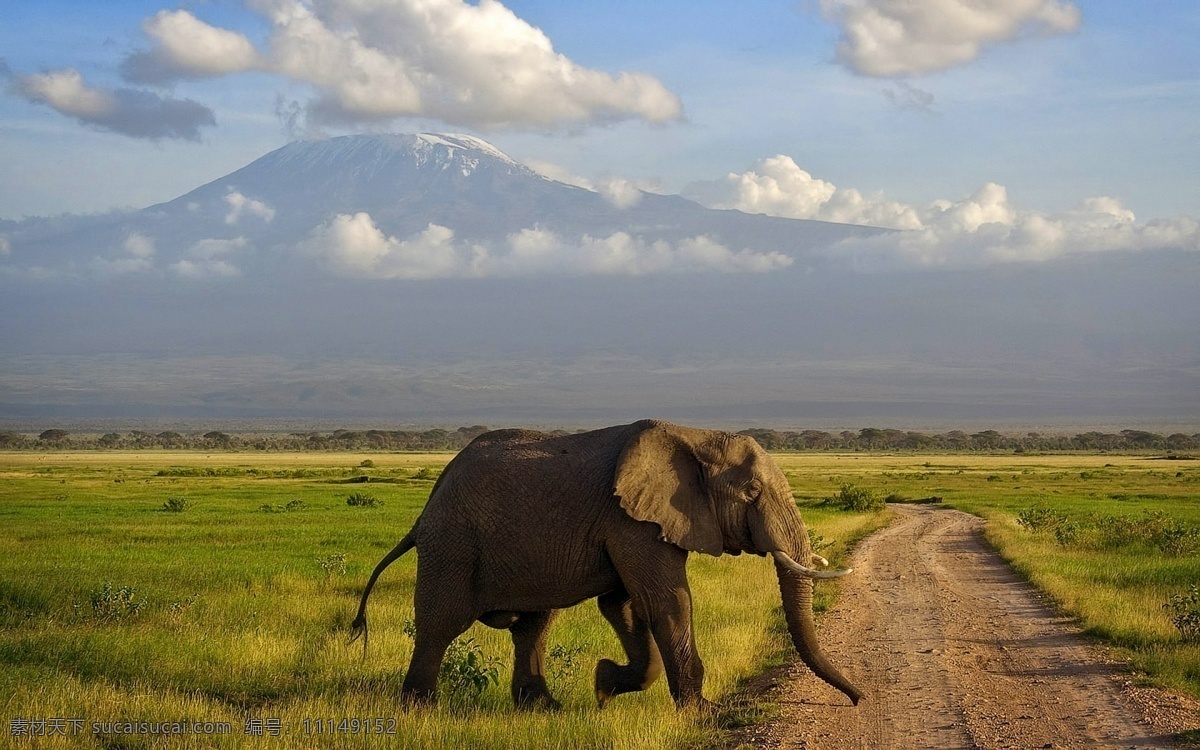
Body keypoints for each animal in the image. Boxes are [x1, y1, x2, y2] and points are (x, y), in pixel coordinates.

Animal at [350, 419, 862, 709]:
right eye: (752, 492)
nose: (857, 700)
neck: (697, 437)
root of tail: (427, 506)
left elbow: (625, 606)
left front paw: (602, 686)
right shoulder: (630, 519)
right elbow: (665, 603)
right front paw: (705, 713)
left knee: (533, 625)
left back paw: (543, 709)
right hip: (452, 545)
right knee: (441, 623)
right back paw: (419, 710)